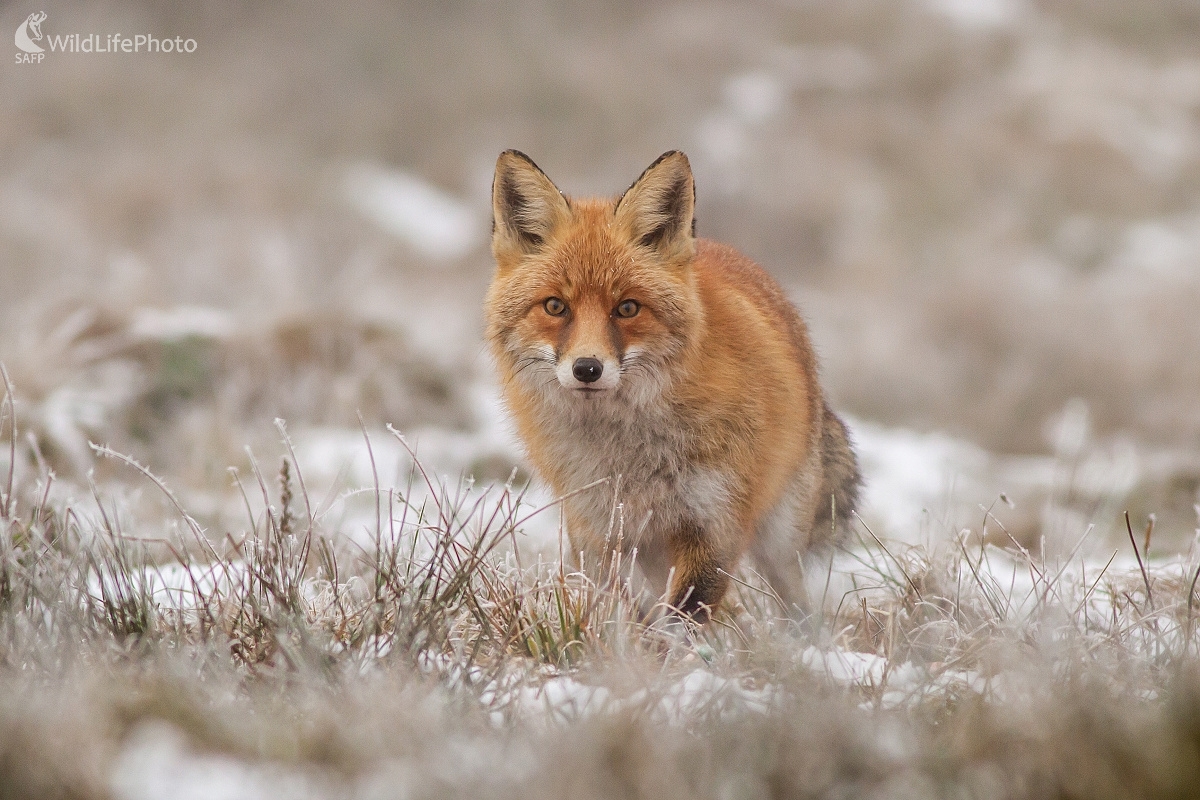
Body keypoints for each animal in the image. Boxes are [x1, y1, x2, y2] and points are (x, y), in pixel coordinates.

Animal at [482, 151, 859, 623]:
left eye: (627, 308)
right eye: (555, 306)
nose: (587, 369)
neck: (628, 456)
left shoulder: (715, 524)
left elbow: (683, 616)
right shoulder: (602, 535)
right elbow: (629, 613)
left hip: (778, 541)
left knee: (797, 601)